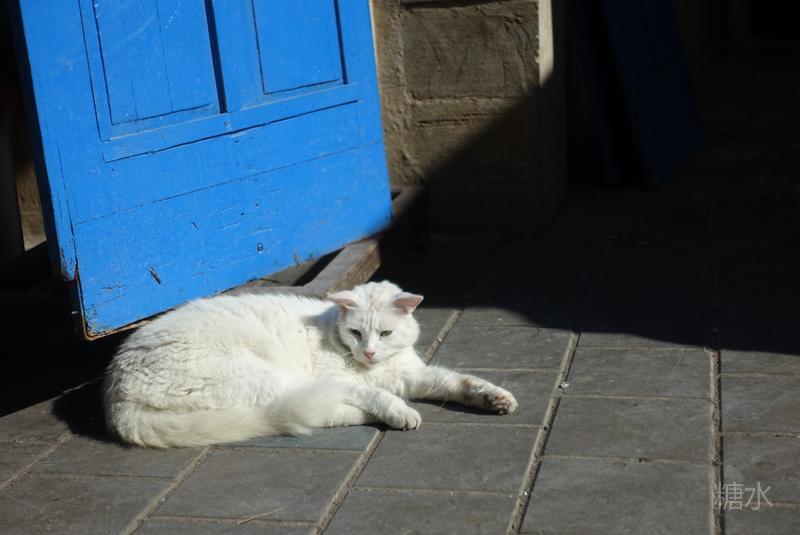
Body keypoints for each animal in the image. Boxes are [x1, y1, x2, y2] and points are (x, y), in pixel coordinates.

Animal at [104, 280, 518, 448]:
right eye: (356, 332)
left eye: (384, 334)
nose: (368, 352)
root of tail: (117, 395)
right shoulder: (346, 378)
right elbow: (372, 392)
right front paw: (397, 409)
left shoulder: (410, 375)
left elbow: (455, 381)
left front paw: (494, 398)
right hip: (267, 378)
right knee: (318, 410)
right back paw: (388, 415)